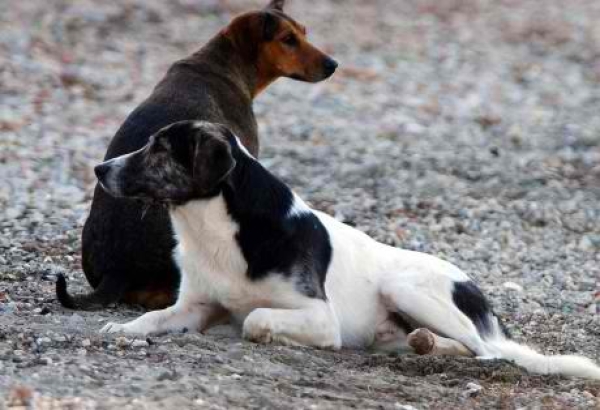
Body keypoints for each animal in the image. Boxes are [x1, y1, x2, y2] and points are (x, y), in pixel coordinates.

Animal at [97, 120, 600, 380]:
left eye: (160, 148)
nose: (100, 169)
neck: (216, 227)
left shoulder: (321, 316)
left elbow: (257, 318)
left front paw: (260, 333)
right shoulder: (195, 305)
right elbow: (152, 317)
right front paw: (121, 327)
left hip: (405, 287)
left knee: (485, 352)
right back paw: (422, 344)